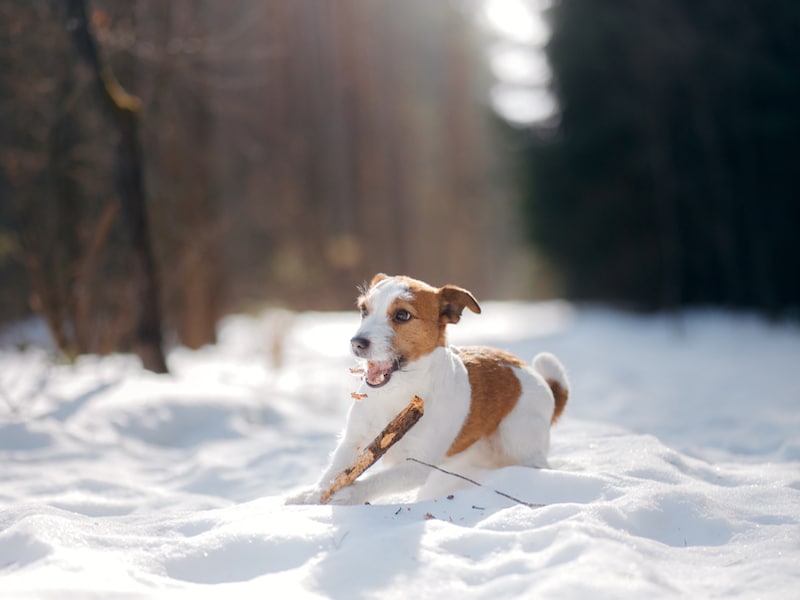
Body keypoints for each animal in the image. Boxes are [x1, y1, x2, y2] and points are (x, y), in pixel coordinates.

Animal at [288, 274, 568, 504]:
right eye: (363, 310)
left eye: (402, 315)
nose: (357, 343)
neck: (397, 393)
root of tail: (533, 374)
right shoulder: (354, 440)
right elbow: (335, 470)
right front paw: (313, 494)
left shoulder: (417, 465)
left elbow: (375, 480)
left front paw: (345, 495)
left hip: (517, 437)